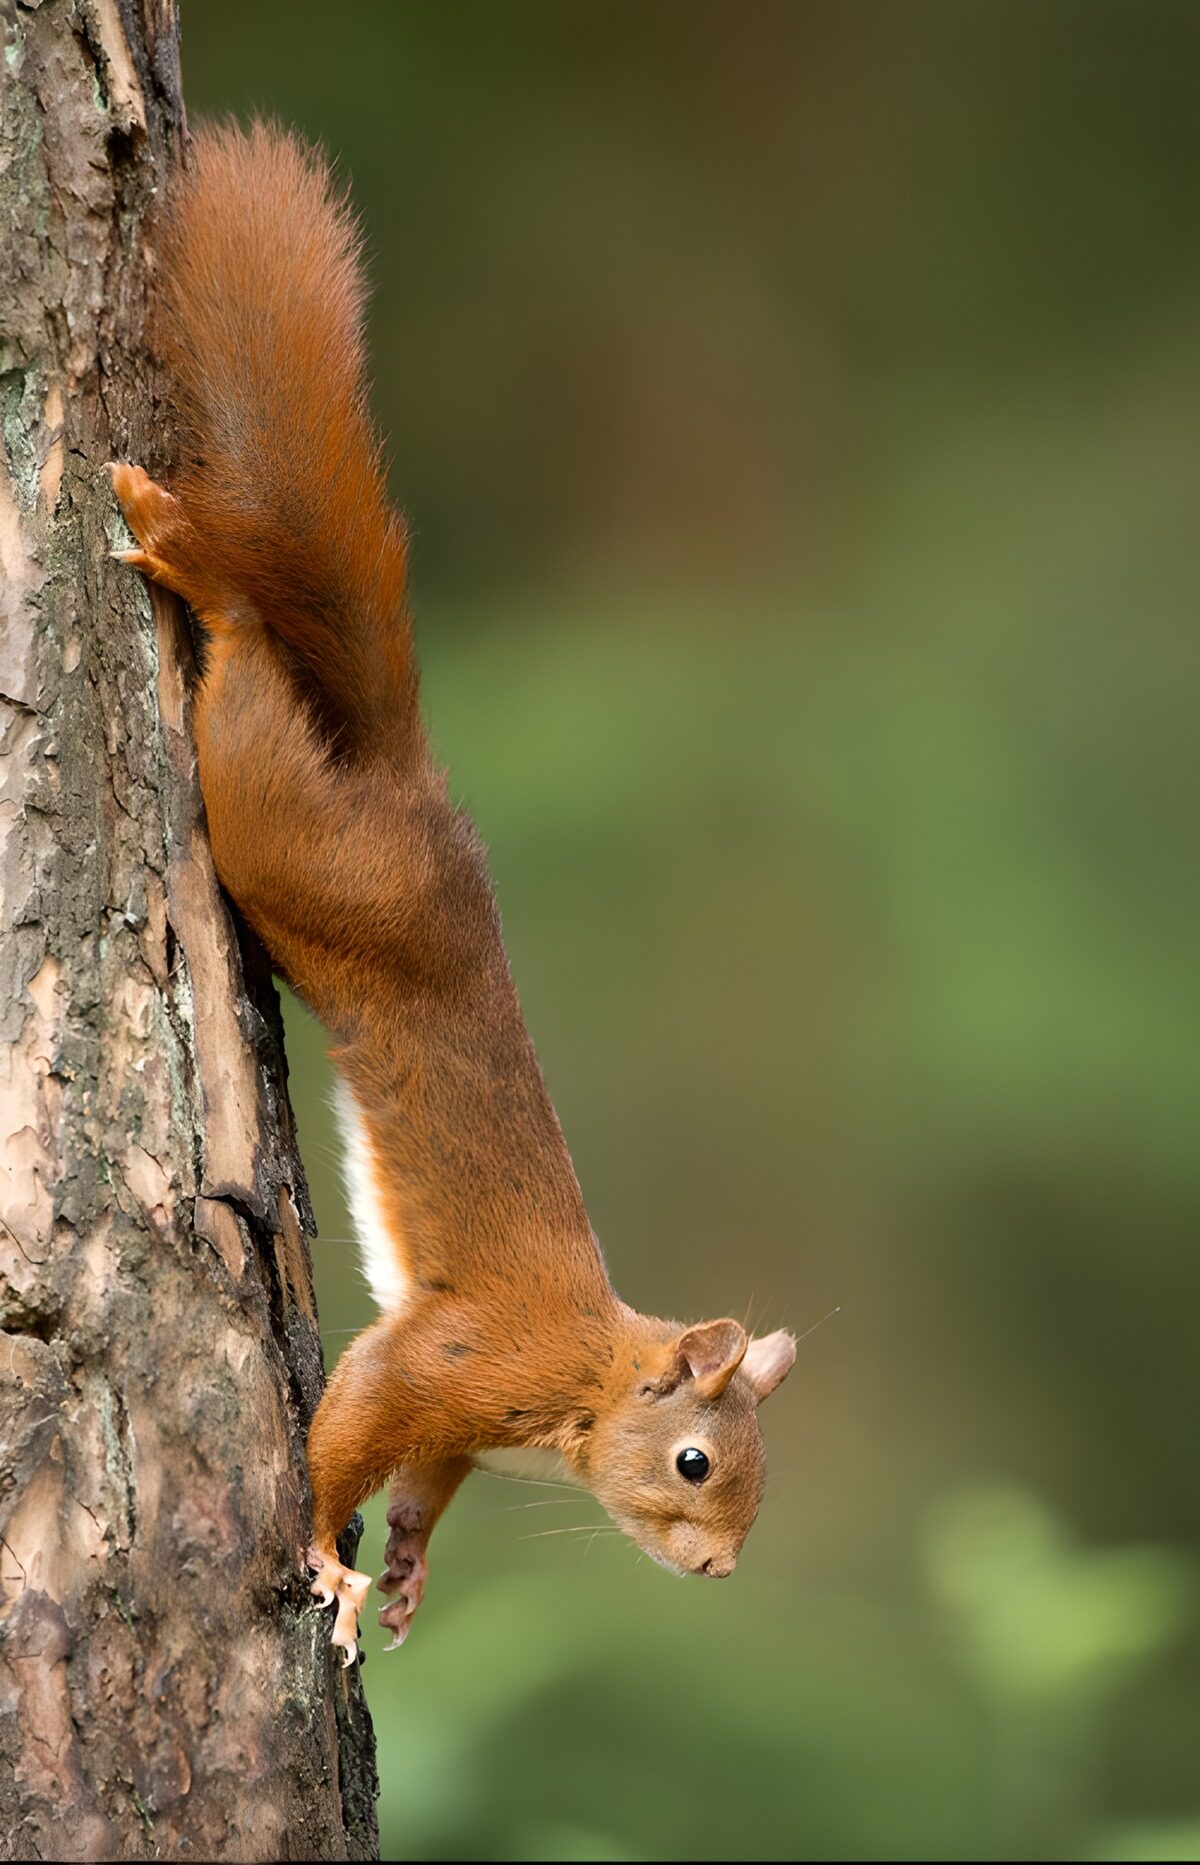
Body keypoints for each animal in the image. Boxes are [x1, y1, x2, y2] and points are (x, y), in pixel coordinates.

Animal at [110, 122, 796, 1666]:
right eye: (696, 1463)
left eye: (762, 1480)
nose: (724, 1573)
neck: (586, 1379)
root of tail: (408, 787)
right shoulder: (458, 1355)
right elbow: (354, 1423)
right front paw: (325, 1551)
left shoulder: (463, 1428)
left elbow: (424, 1480)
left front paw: (412, 1564)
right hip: (287, 837)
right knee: (244, 669)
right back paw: (188, 557)